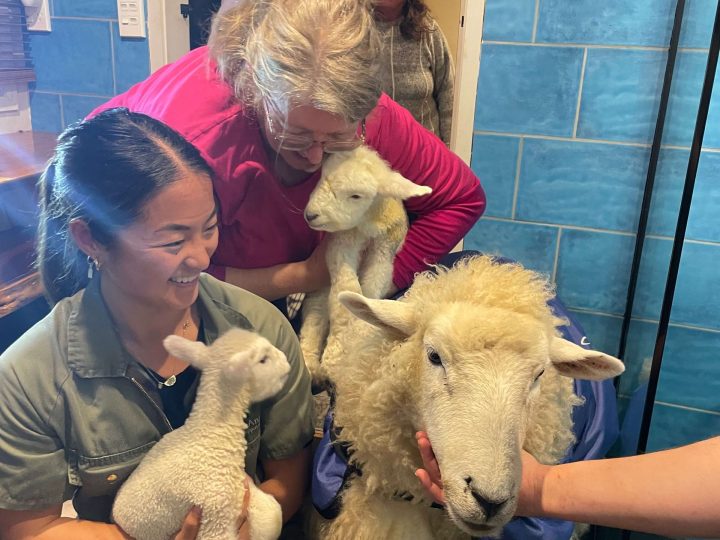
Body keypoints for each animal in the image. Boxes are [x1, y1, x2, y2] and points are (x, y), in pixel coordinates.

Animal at [112, 328, 290, 540]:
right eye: (263, 359)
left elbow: (272, 515)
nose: (287, 362)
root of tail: (116, 515)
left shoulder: (239, 491)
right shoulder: (214, 515)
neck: (212, 432)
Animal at [299, 145, 432, 385]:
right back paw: (312, 367)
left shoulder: (384, 252)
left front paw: (359, 335)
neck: (365, 226)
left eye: (356, 196)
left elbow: (370, 290)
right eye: (322, 177)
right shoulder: (340, 246)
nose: (311, 215)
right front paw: (336, 356)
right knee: (314, 317)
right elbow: (346, 291)